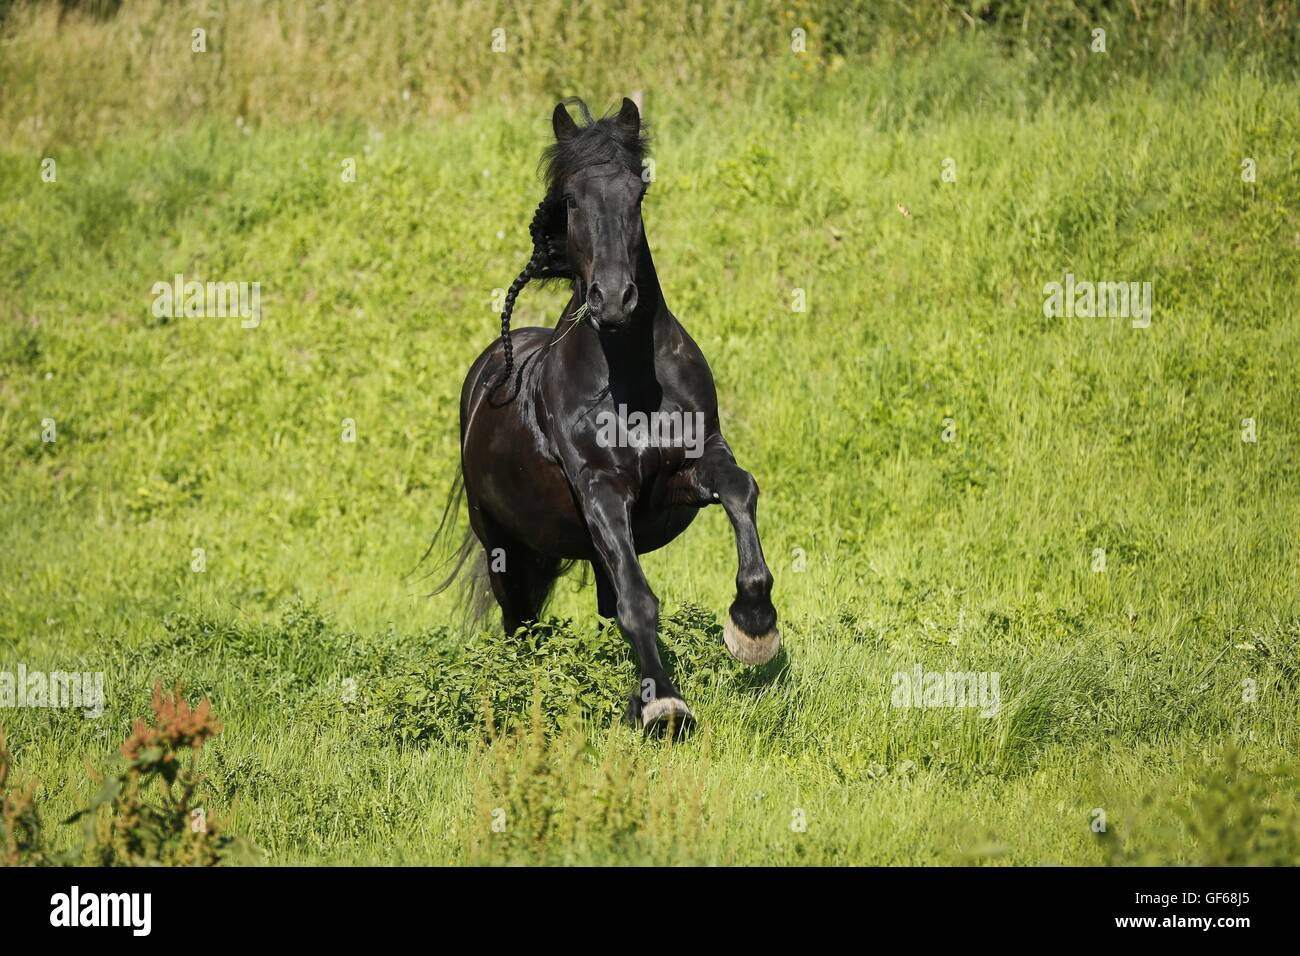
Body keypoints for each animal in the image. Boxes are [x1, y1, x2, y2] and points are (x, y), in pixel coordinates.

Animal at [432, 97, 779, 737]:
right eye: (570, 199)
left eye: (637, 194)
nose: (614, 298)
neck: (629, 376)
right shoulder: (601, 491)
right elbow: (637, 602)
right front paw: (664, 706)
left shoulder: (689, 470)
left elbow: (740, 491)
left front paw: (753, 627)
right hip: (506, 549)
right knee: (521, 625)